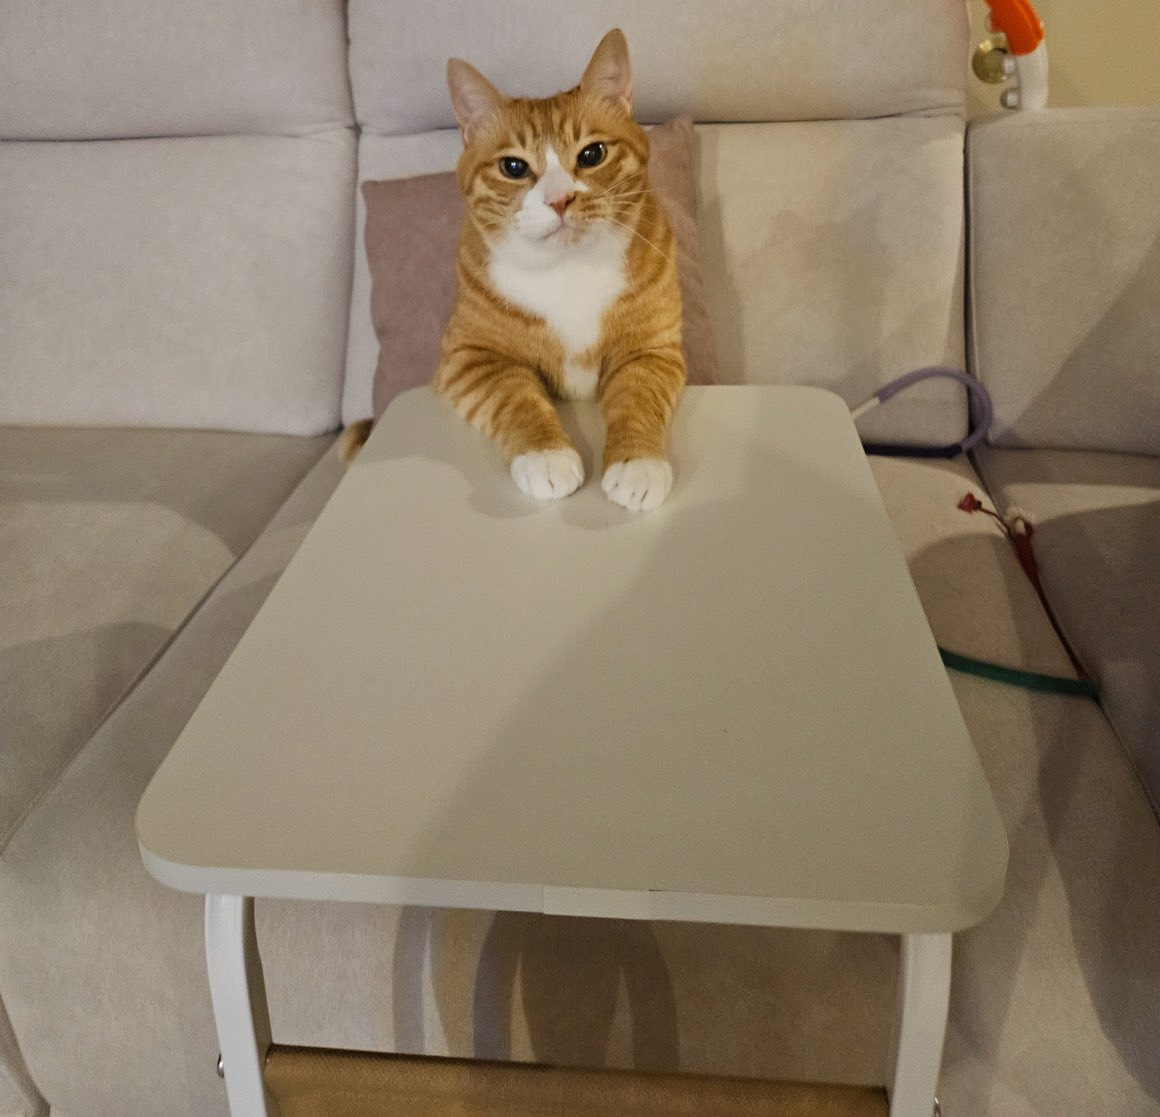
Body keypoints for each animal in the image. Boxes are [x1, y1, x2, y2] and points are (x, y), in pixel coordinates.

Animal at [344, 29, 685, 512]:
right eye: (513, 166)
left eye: (593, 154)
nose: (560, 199)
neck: (567, 270)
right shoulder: (468, 357)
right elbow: (515, 395)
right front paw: (547, 455)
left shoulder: (653, 351)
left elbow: (637, 398)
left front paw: (637, 462)